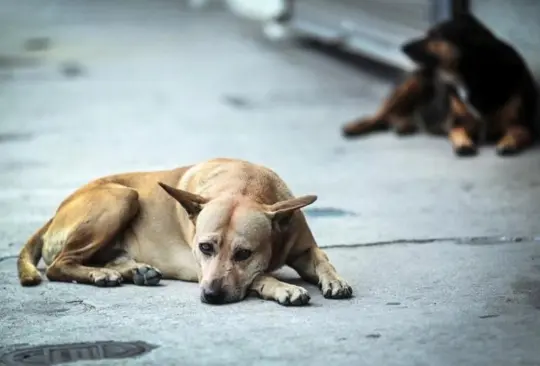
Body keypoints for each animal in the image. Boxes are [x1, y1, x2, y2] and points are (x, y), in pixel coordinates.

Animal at [16, 157, 352, 306]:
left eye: (244, 253)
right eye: (205, 248)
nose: (211, 295)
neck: (245, 186)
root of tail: (56, 213)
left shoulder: (303, 247)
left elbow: (322, 259)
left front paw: (335, 280)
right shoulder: (201, 268)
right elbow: (261, 276)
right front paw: (281, 286)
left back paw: (132, 270)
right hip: (122, 197)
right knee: (59, 265)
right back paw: (102, 274)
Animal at [342, 12, 536, 155]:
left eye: (435, 36)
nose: (402, 47)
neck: (472, 76)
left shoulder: (522, 124)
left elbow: (519, 131)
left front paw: (508, 142)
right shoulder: (456, 122)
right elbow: (457, 130)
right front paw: (463, 144)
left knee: (392, 116)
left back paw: (403, 124)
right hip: (412, 83)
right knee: (381, 114)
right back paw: (355, 126)